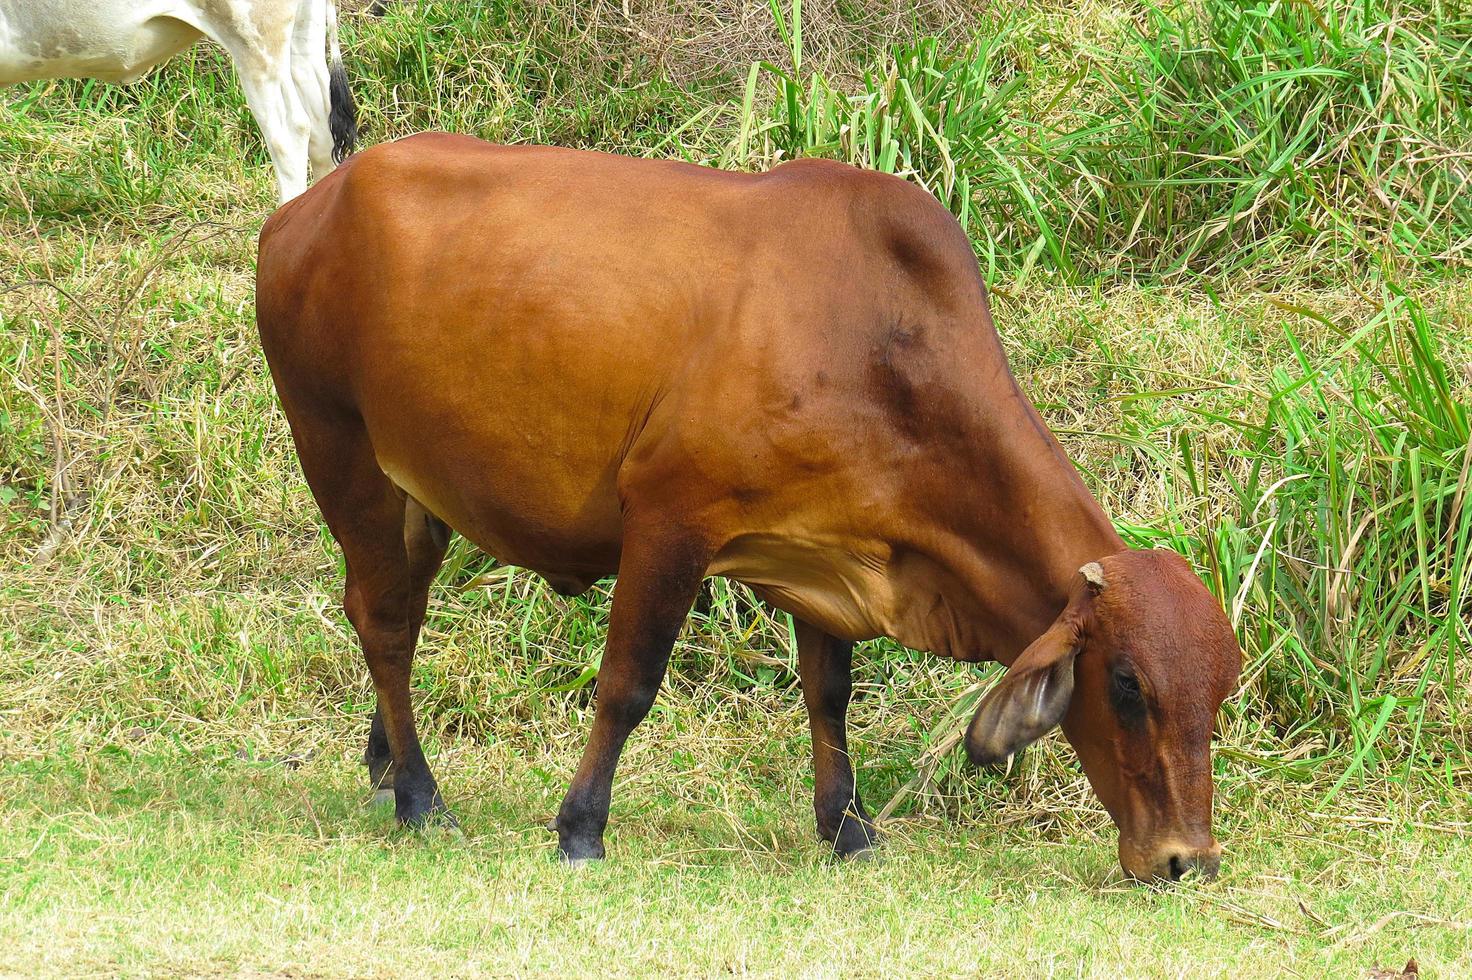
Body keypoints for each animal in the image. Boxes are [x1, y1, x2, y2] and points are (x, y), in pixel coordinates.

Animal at [253, 133, 1242, 882]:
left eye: (1223, 688)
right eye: (1127, 685)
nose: (1185, 859)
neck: (881, 347)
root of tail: (308, 207)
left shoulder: (830, 549)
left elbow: (829, 694)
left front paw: (847, 828)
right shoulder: (671, 518)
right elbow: (629, 685)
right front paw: (581, 827)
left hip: (418, 491)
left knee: (406, 609)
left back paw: (387, 767)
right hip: (337, 445)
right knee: (382, 619)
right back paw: (422, 797)